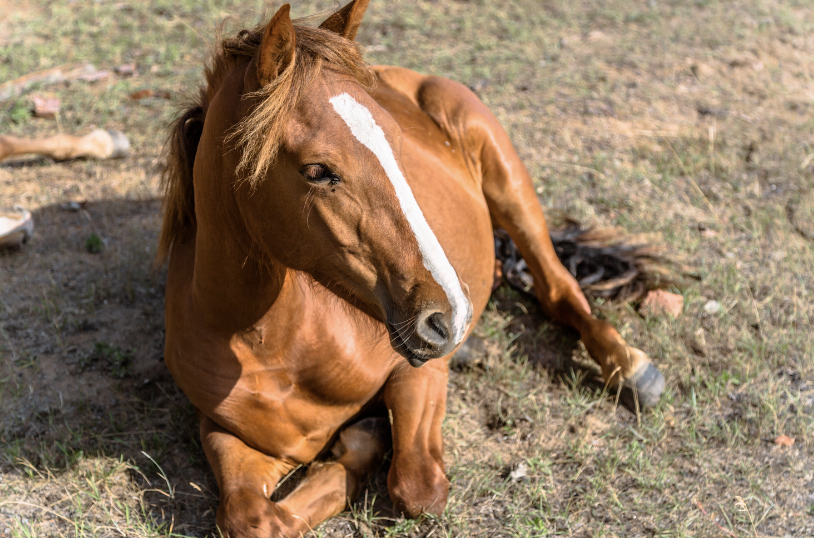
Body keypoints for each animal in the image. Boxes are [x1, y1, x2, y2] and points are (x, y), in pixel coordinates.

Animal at [158, 2, 664, 532]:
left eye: (397, 144)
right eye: (317, 171)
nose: (449, 317)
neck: (268, 345)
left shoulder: (416, 371)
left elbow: (416, 488)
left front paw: (368, 440)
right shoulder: (226, 434)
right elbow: (250, 517)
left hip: (509, 182)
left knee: (558, 288)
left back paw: (631, 368)